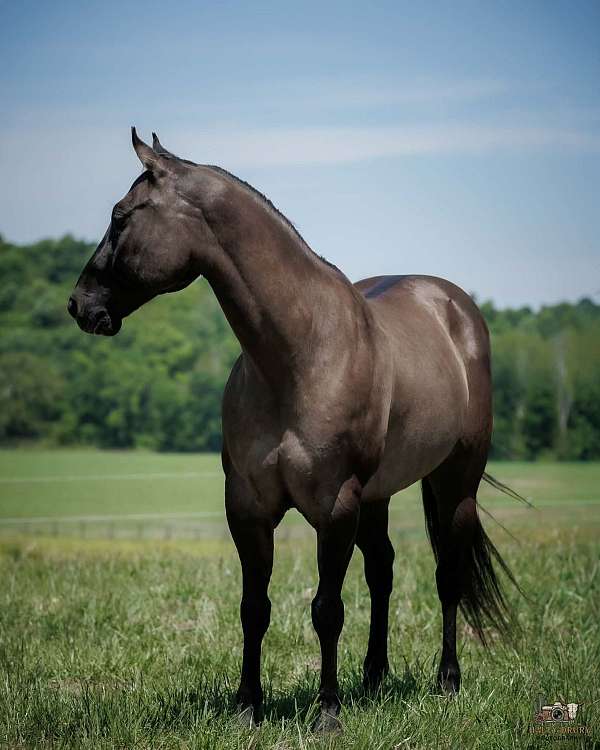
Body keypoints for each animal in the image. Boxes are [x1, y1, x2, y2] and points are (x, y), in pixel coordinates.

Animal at [68, 128, 518, 732]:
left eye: (121, 216)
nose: (79, 304)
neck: (298, 356)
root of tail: (456, 307)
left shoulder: (335, 505)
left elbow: (327, 609)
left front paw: (327, 712)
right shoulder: (249, 506)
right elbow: (253, 608)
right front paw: (246, 707)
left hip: (455, 482)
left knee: (449, 573)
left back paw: (447, 681)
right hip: (378, 495)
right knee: (383, 571)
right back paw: (373, 678)